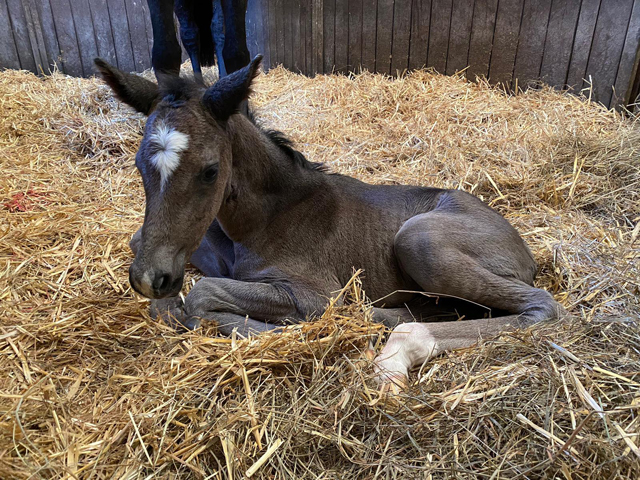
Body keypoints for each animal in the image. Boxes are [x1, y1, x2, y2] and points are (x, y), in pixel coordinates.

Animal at [96, 55, 564, 386]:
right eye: (139, 165)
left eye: (210, 170)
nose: (151, 278)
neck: (259, 221)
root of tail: (525, 251)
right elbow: (148, 255)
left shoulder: (314, 292)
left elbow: (201, 298)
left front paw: (259, 326)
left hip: (420, 238)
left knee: (542, 307)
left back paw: (393, 352)